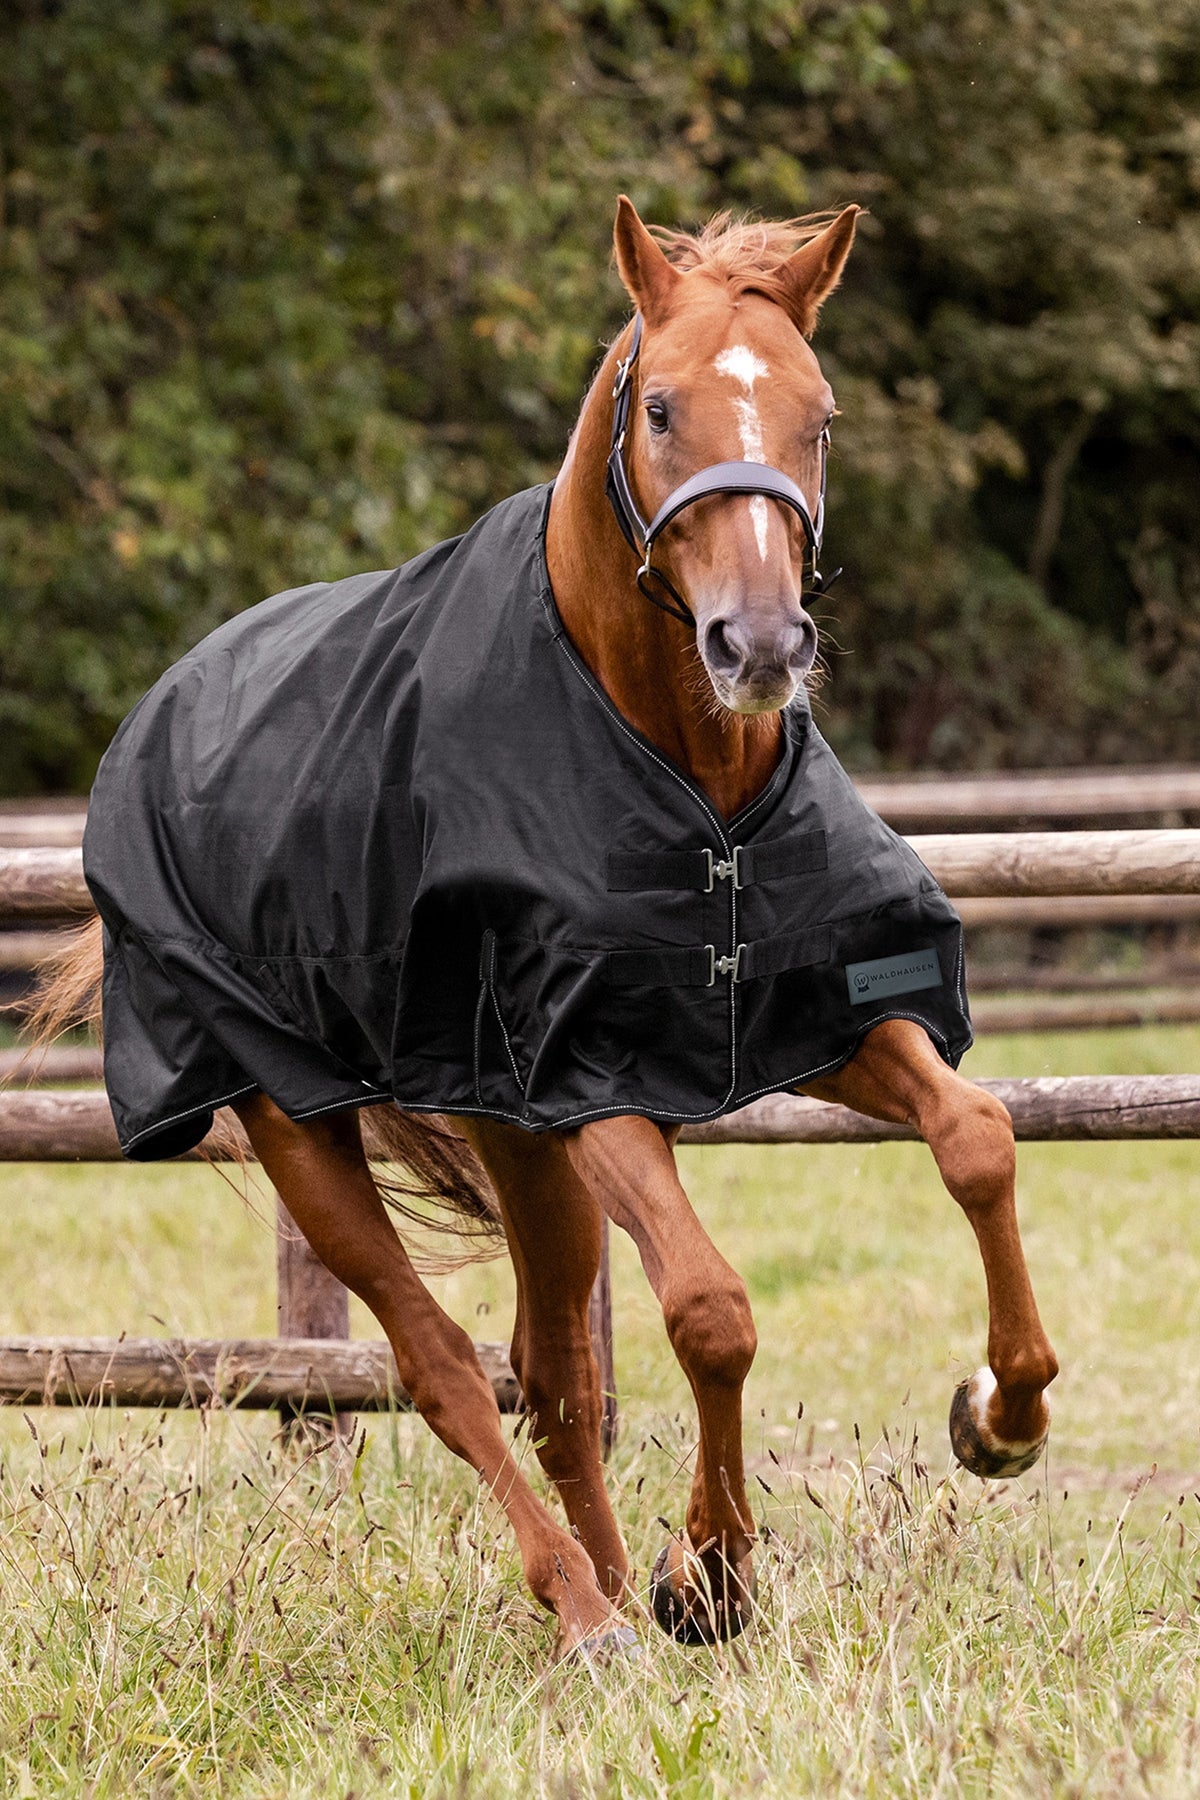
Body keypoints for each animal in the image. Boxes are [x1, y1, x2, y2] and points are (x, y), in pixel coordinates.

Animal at [34, 197, 1057, 1661]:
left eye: (820, 416)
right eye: (664, 409)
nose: (759, 644)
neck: (691, 782)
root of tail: (160, 713)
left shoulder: (820, 1018)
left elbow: (977, 1139)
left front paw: (1000, 1419)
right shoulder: (594, 1083)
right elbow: (711, 1310)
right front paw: (718, 1573)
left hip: (517, 1147)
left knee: (554, 1371)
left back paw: (622, 1599)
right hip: (308, 1131)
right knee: (446, 1368)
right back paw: (585, 1605)